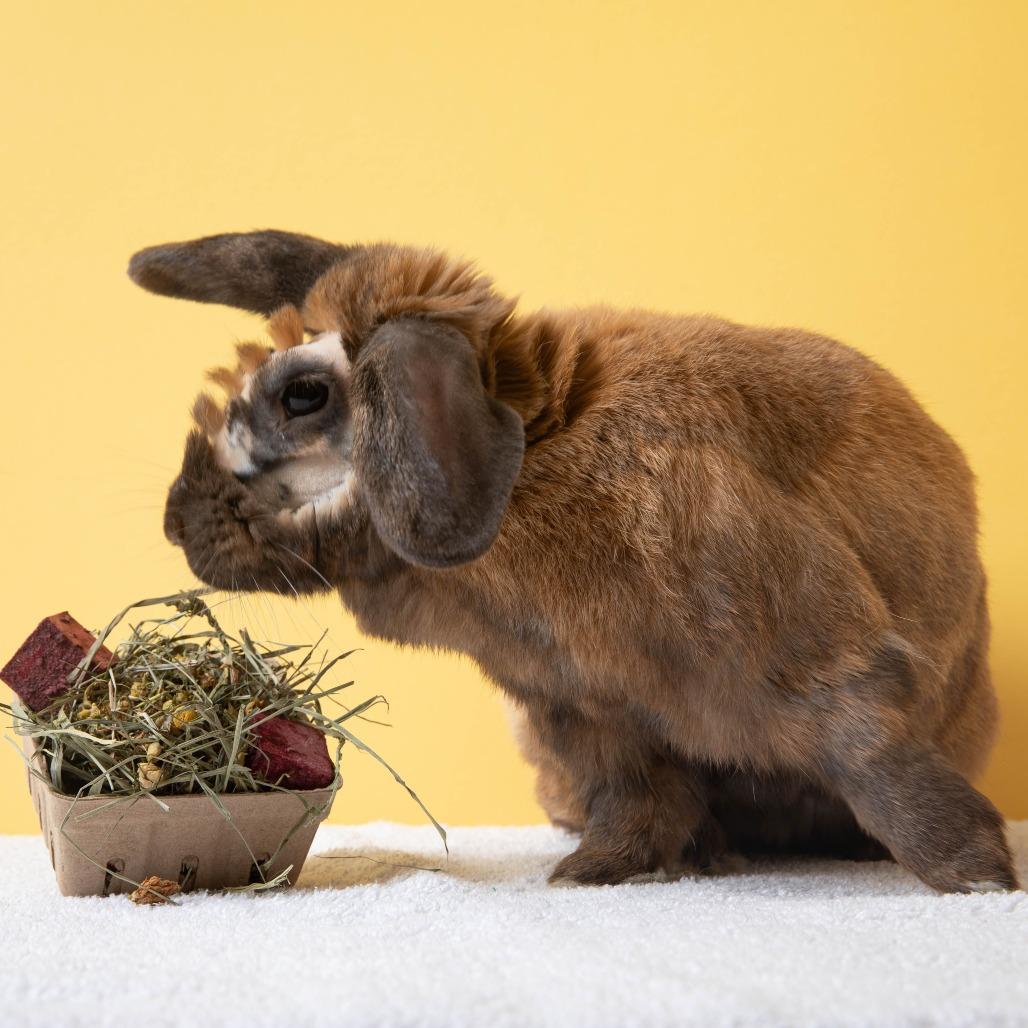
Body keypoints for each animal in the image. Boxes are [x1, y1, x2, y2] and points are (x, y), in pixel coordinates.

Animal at [129, 229, 1017, 893]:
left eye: (302, 396)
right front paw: (594, 872)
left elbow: (878, 761)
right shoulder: (587, 713)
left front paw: (978, 877)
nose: (173, 522)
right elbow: (636, 801)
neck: (539, 458)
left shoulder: (823, 666)